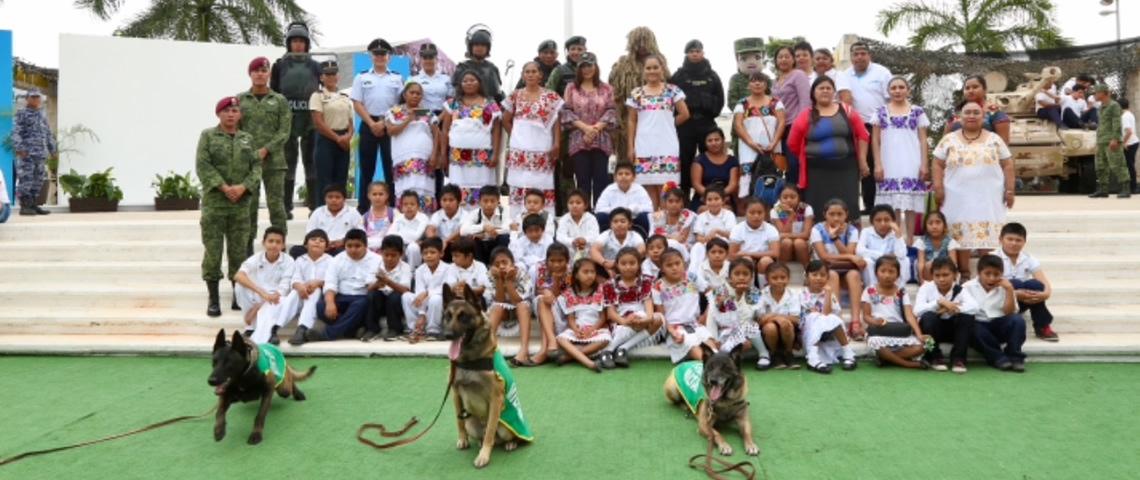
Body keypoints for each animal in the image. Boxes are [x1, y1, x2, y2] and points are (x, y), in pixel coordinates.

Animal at [442, 282, 535, 465]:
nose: (447, 335)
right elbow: (458, 422)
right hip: (471, 422)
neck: (471, 360)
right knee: (474, 429)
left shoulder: (495, 398)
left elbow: (490, 432)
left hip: (504, 426)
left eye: (463, 317)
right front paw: (463, 439)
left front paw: (483, 455)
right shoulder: (456, 394)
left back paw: (511, 443)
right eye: (448, 316)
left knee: (500, 436)